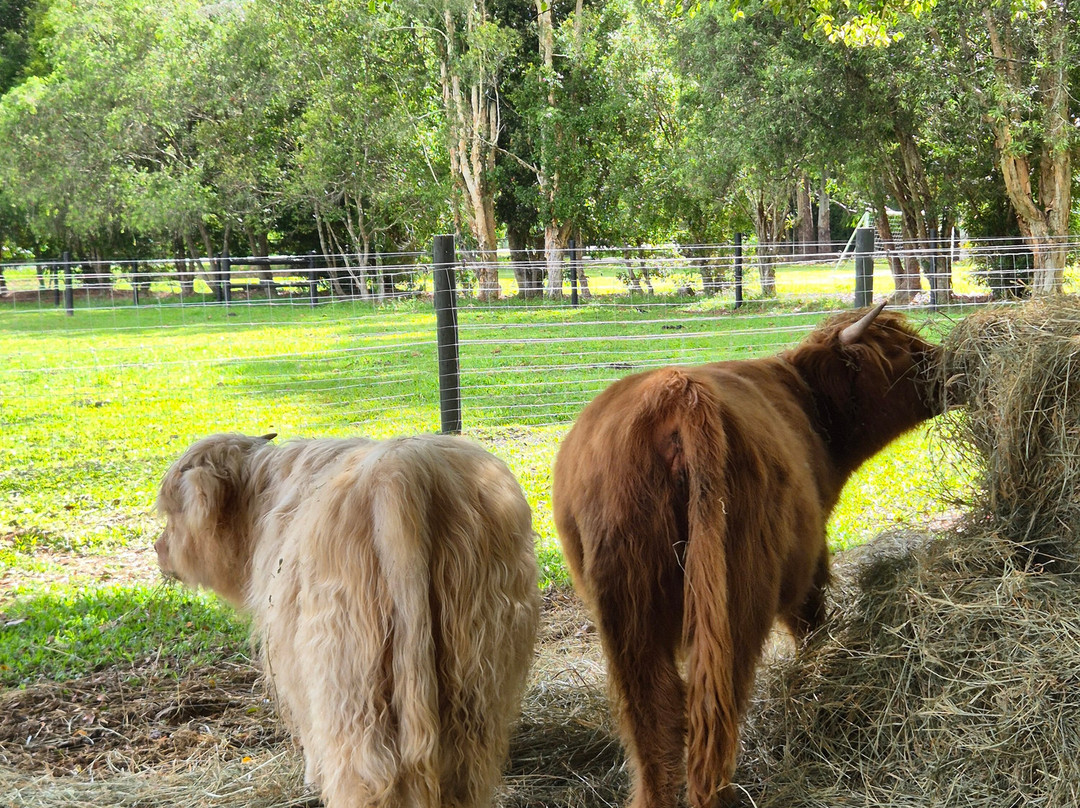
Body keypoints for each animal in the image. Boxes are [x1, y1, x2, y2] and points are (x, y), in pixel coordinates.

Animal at [155, 432, 541, 808]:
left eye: (172, 513)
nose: (159, 550)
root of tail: (400, 476)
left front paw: (312, 776)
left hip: (347, 670)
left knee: (364, 766)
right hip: (476, 659)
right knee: (465, 762)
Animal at [552, 301, 946, 808]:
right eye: (900, 350)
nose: (953, 358)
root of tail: (679, 395)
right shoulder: (812, 558)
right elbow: (812, 625)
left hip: (628, 609)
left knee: (656, 714)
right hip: (738, 593)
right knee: (718, 704)